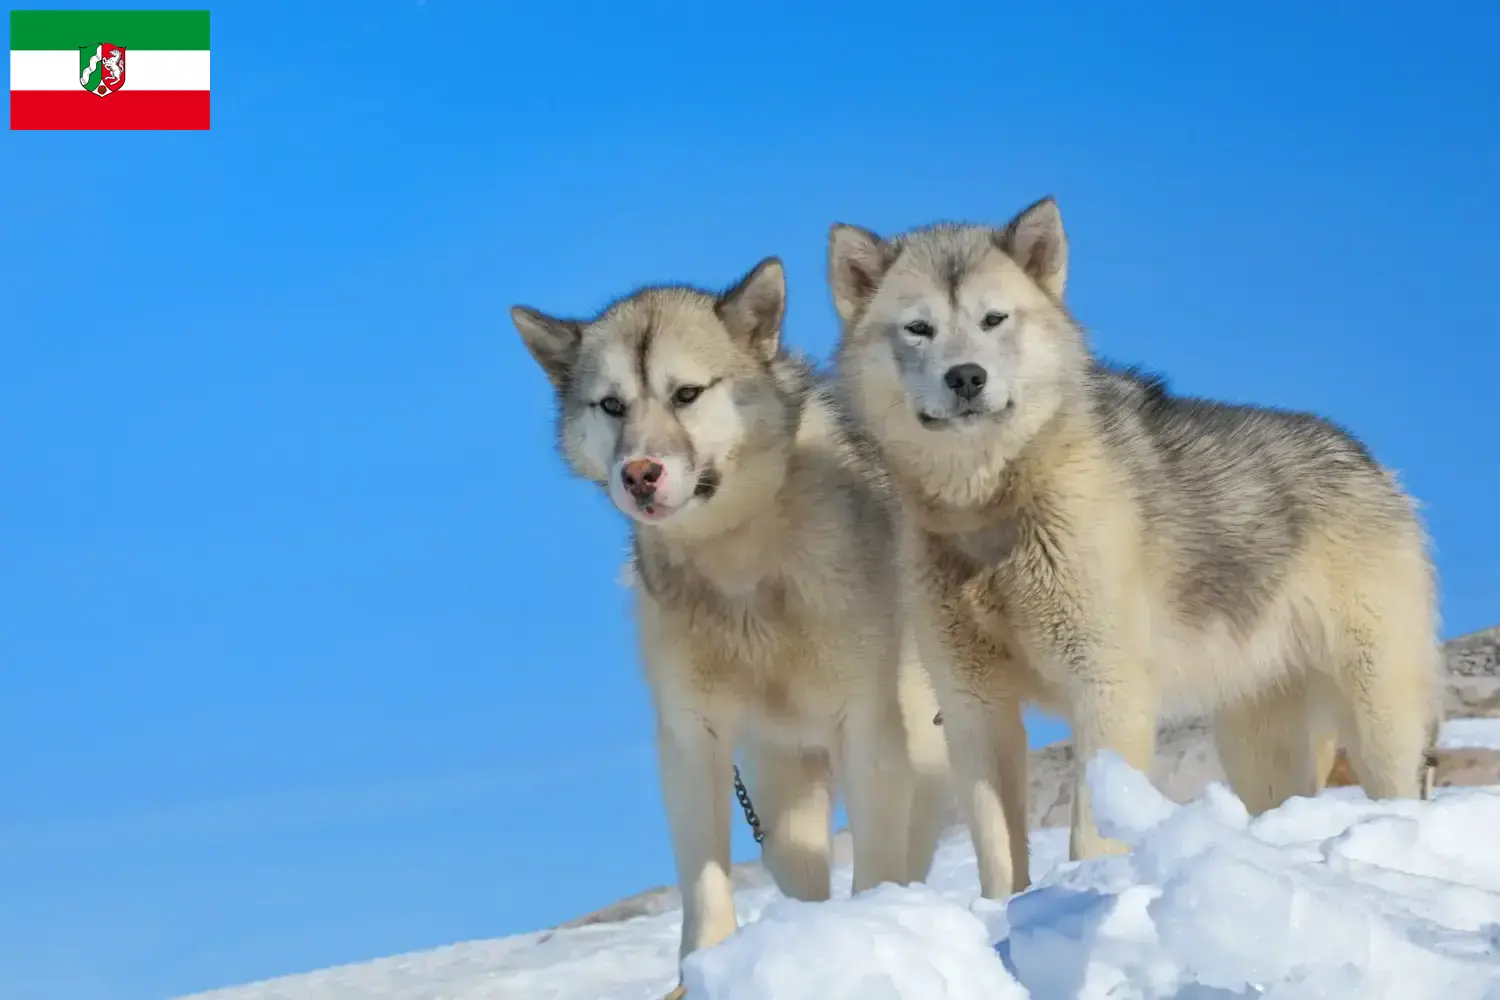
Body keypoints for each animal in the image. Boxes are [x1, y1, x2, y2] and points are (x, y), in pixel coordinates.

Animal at [504, 260, 948, 983]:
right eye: (611, 405)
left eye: (686, 394)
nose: (640, 473)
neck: (741, 565)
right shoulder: (692, 736)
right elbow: (708, 880)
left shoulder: (870, 723)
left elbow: (880, 859)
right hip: (780, 780)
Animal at [828, 197, 1446, 899]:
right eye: (918, 328)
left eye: (994, 318)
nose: (966, 377)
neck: (991, 509)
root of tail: (1371, 462)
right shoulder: (973, 707)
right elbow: (998, 853)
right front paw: (1006, 912)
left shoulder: (1106, 687)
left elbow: (1091, 832)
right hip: (1257, 743)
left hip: (1377, 715)